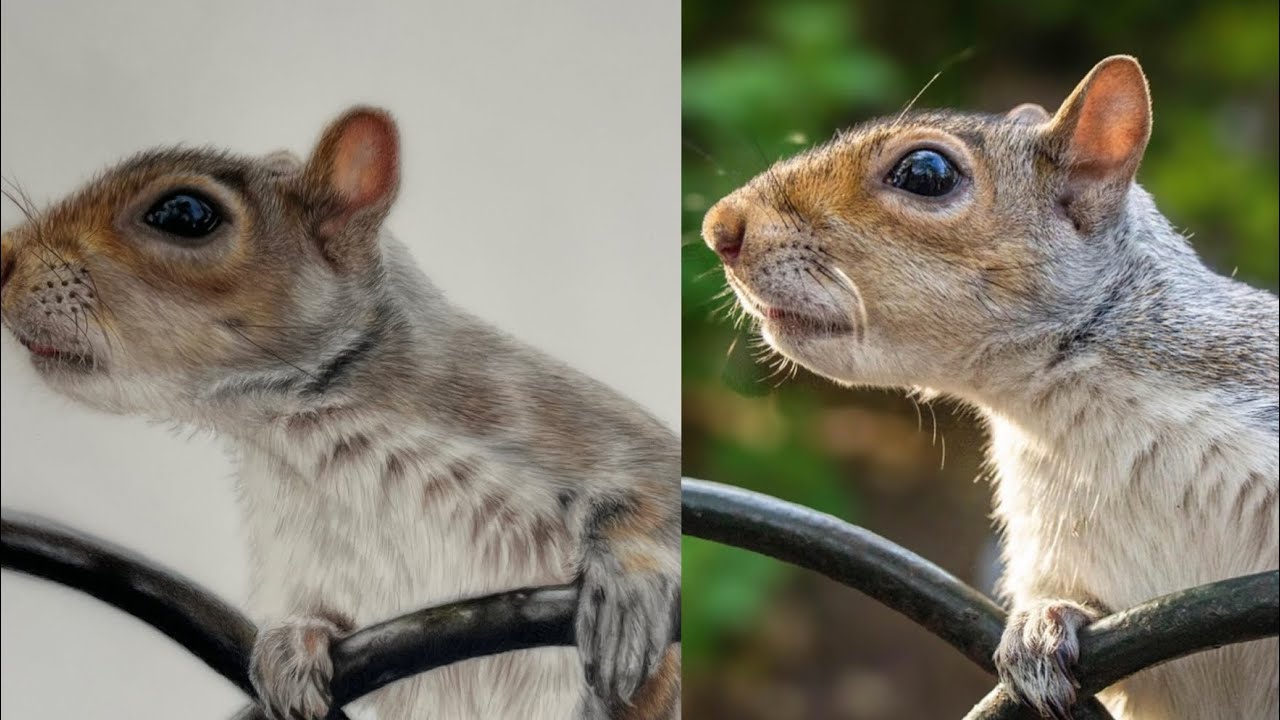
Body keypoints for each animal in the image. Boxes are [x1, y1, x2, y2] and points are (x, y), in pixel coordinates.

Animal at [0, 107, 680, 720]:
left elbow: (649, 485)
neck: (304, 431)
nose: (4, 256)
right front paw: (290, 642)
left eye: (185, 214)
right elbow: (318, 613)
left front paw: (628, 585)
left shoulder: (542, 414)